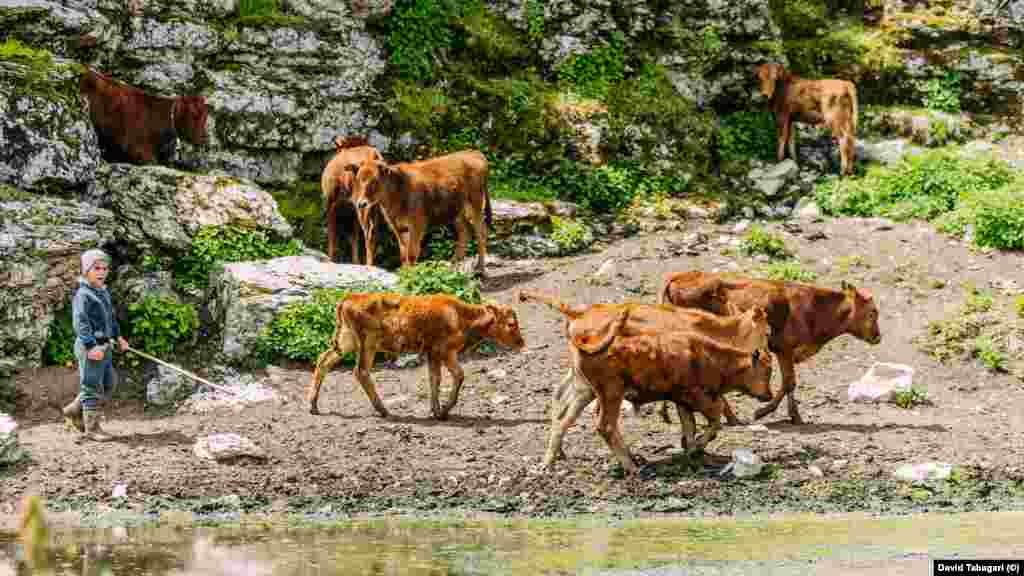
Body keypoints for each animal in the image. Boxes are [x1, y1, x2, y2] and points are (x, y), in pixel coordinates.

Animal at [305, 293, 524, 420]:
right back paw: (384, 411)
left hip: (347, 340)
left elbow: (435, 379)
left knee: (324, 360)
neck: (461, 316)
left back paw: (313, 406)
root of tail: (347, 300)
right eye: (511, 323)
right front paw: (444, 411)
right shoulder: (444, 351)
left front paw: (436, 411)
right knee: (361, 371)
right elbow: (458, 375)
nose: (521, 342)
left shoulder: (432, 354)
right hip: (368, 343)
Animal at [319, 135, 385, 266]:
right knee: (374, 231)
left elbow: (332, 233)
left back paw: (369, 264)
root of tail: (375, 156)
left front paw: (331, 259)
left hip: (363, 204)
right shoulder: (352, 207)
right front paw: (355, 261)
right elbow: (354, 236)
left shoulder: (331, 202)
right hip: (373, 205)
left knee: (369, 231)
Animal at [354, 150, 493, 276]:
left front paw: (411, 276)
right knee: (465, 233)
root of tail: (475, 153)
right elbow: (403, 253)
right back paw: (451, 268)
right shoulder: (398, 227)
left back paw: (480, 269)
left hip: (475, 206)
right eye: (359, 179)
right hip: (457, 213)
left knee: (481, 232)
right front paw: (405, 274)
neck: (399, 187)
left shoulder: (417, 225)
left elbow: (411, 253)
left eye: (374, 181)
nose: (361, 204)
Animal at [659, 268, 884, 422]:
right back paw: (731, 417)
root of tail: (677, 277)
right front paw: (766, 412)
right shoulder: (784, 349)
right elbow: (789, 382)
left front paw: (792, 415)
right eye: (873, 312)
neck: (812, 308)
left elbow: (789, 382)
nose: (878, 337)